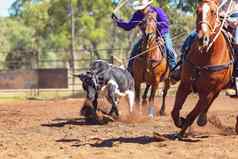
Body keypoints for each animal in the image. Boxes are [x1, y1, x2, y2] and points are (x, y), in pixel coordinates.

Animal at [171, 0, 234, 138]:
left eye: (213, 12)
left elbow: (192, 114)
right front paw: (180, 123)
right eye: (197, 11)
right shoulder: (185, 84)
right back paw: (202, 119)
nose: (202, 38)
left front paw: (182, 129)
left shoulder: (208, 93)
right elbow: (175, 111)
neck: (205, 55)